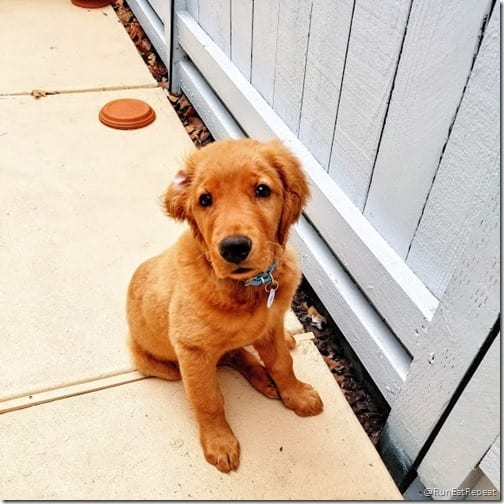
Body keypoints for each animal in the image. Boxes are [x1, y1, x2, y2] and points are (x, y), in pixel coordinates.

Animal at [126, 138, 322, 472]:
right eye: (205, 199)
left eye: (262, 190)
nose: (234, 248)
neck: (249, 287)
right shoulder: (191, 350)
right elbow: (209, 400)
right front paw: (220, 442)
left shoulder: (271, 321)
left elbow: (282, 363)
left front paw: (296, 394)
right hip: (163, 366)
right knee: (228, 356)